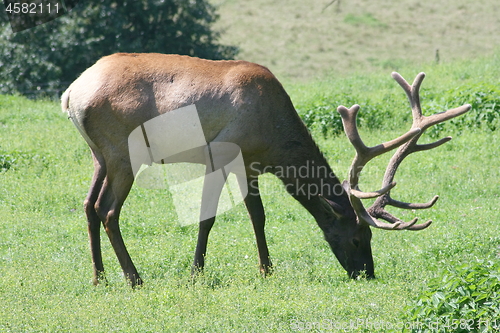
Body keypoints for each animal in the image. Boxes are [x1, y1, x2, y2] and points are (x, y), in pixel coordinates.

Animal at [60, 53, 470, 286]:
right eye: (358, 238)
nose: (366, 273)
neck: (274, 139)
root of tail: (70, 93)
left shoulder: (252, 164)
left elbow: (257, 215)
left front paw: (266, 270)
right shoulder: (224, 152)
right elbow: (209, 217)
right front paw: (197, 273)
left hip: (99, 155)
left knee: (88, 205)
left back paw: (99, 278)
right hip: (122, 153)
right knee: (107, 210)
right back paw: (134, 278)